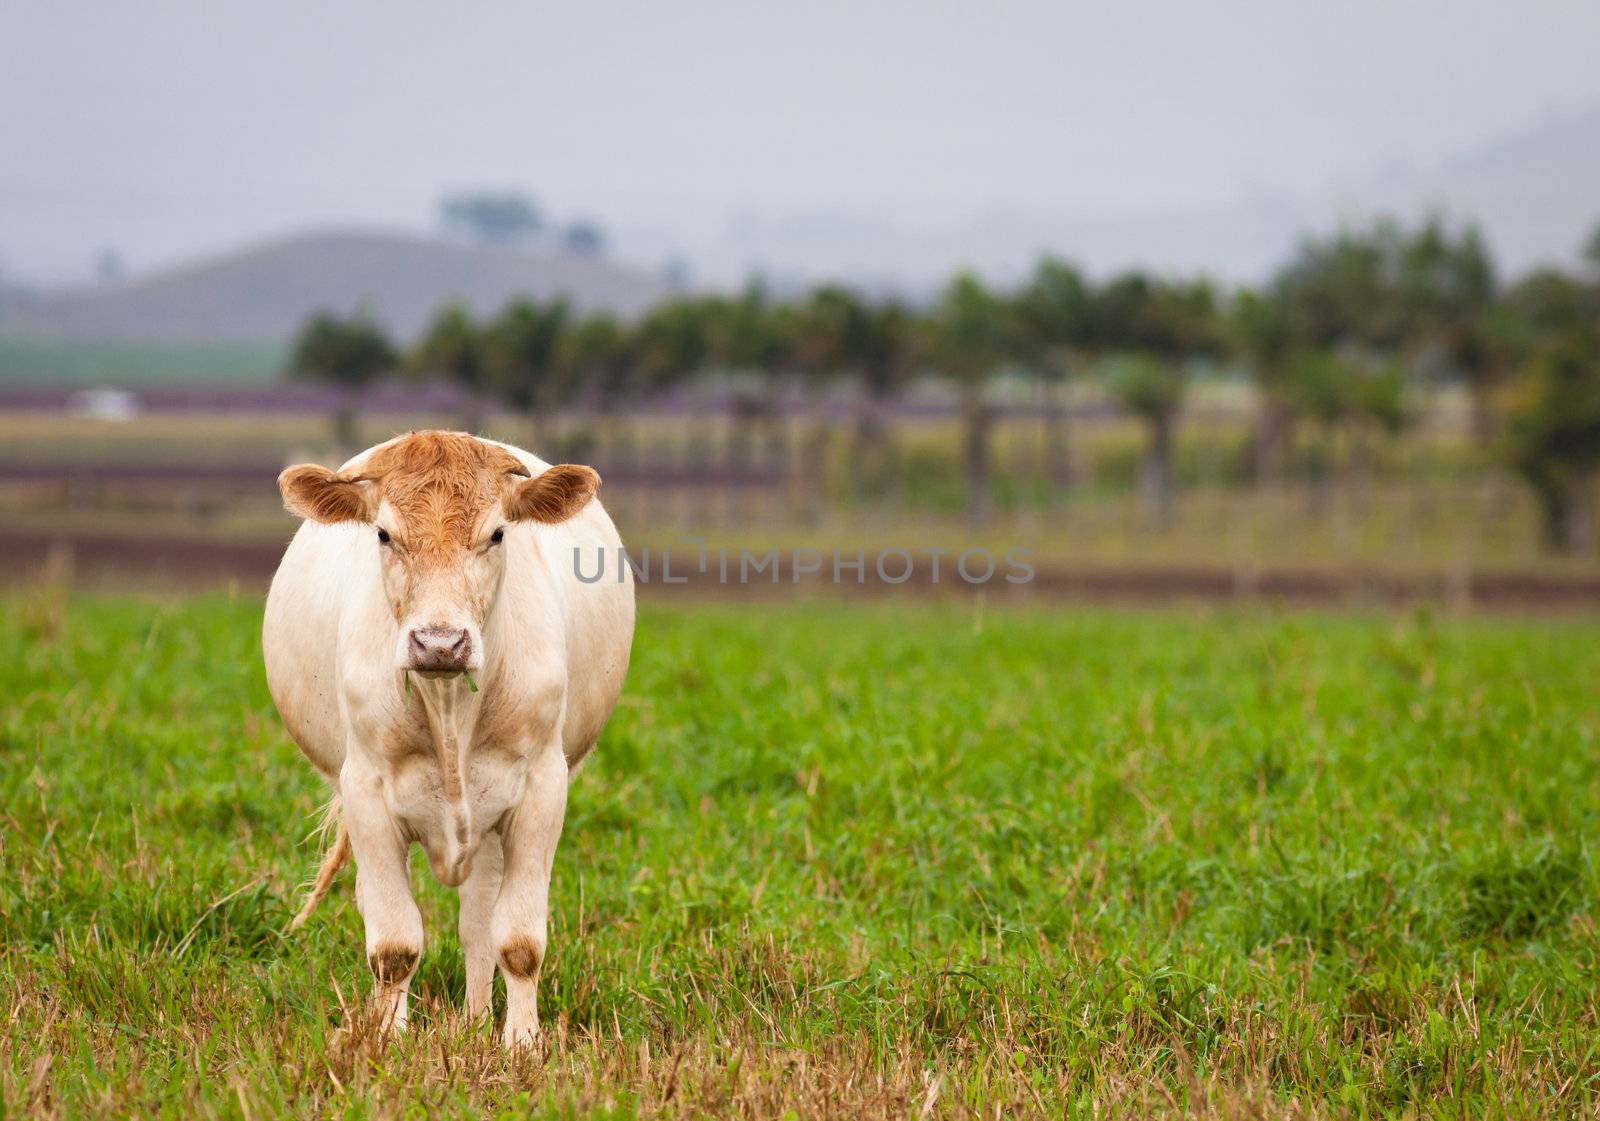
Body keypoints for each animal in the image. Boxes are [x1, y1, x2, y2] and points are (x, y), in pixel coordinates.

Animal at [260, 431, 630, 1042]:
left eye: (497, 534)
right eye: (384, 534)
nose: (440, 643)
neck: (450, 706)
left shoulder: (542, 790)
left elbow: (519, 941)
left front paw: (521, 1043)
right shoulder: (365, 793)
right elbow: (394, 945)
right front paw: (387, 1040)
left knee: (479, 920)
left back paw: (477, 1019)